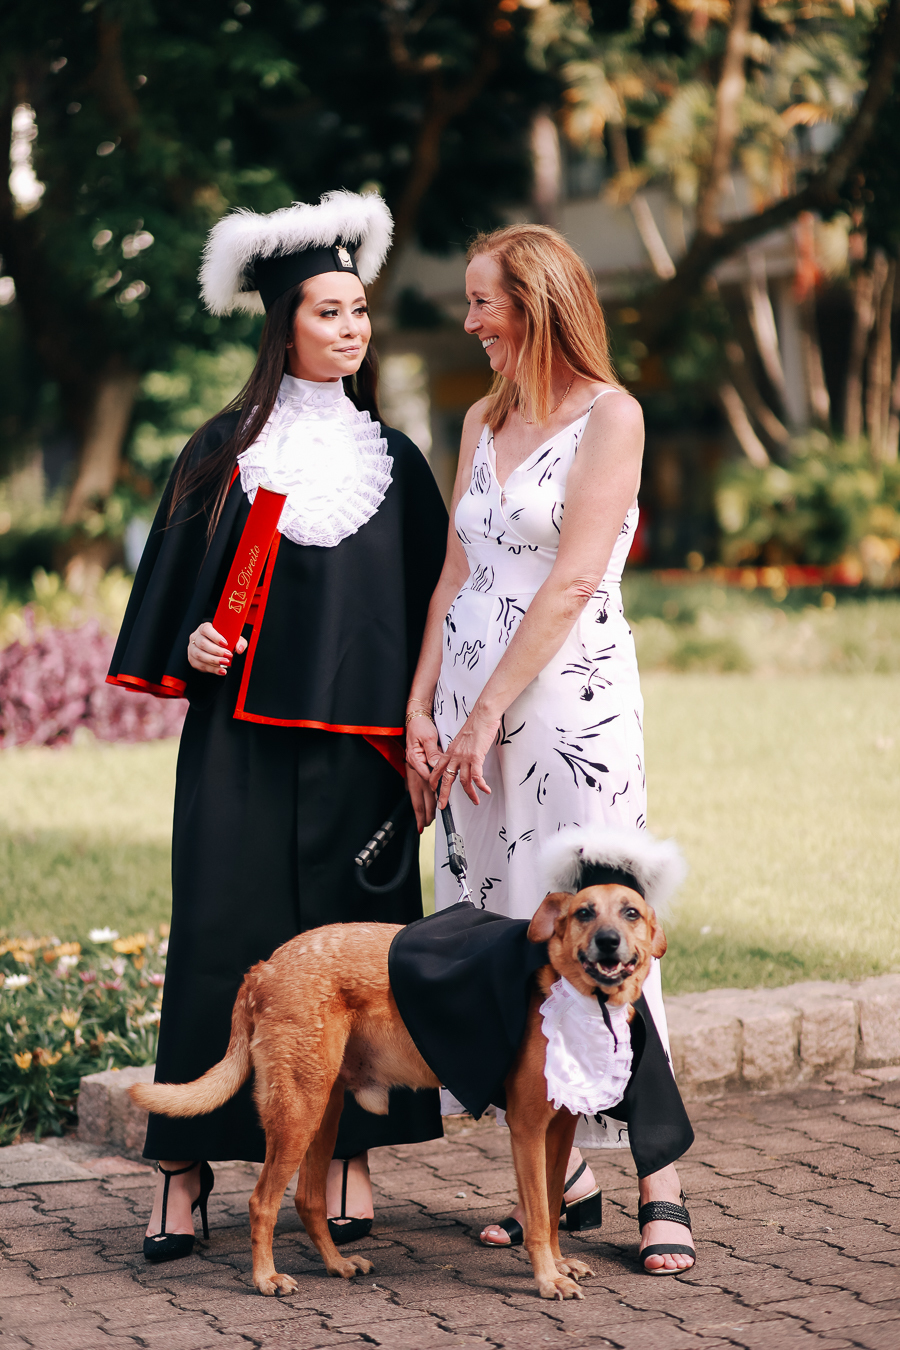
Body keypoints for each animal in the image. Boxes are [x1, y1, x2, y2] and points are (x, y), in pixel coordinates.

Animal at [131, 831, 676, 1302]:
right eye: (584, 912)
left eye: (631, 912)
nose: (609, 941)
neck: (572, 993)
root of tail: (263, 968)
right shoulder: (526, 1127)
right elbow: (540, 1218)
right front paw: (547, 1279)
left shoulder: (558, 1129)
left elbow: (552, 1201)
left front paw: (560, 1266)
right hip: (297, 1113)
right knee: (261, 1201)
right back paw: (266, 1278)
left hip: (323, 1113)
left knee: (308, 1200)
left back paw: (336, 1264)